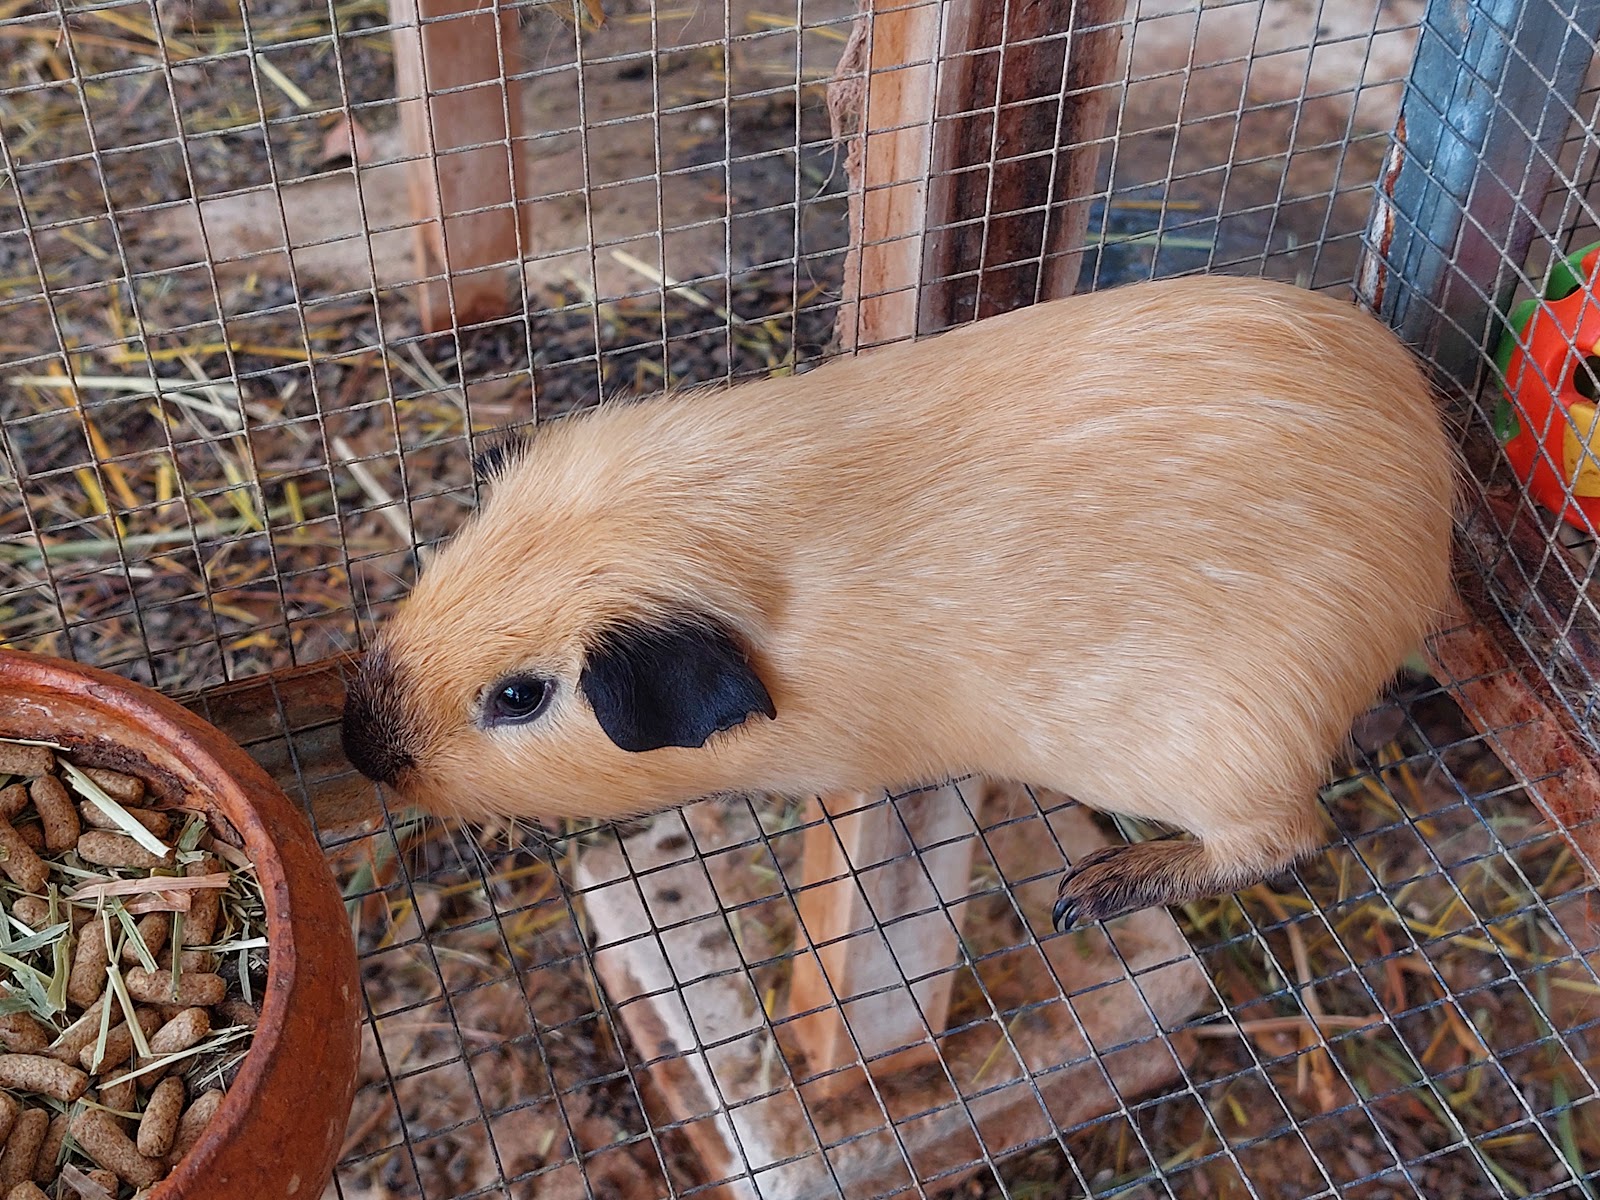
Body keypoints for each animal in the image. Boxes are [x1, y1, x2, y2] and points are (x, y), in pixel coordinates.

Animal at [341, 272, 1458, 929]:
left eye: (519, 697)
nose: (362, 748)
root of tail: (1428, 532)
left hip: (1227, 754)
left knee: (1281, 841)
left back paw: (1092, 893)